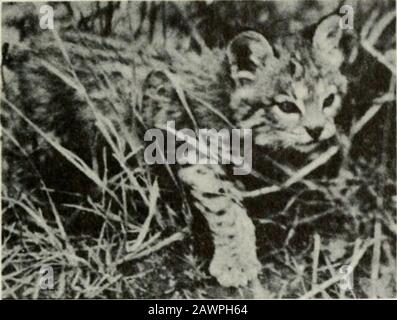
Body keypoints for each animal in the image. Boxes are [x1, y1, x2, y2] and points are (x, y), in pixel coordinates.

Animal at [3, 14, 346, 288]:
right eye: (287, 107)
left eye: (329, 100)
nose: (317, 130)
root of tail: (31, 42)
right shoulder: (196, 155)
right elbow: (228, 210)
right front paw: (235, 262)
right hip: (44, 136)